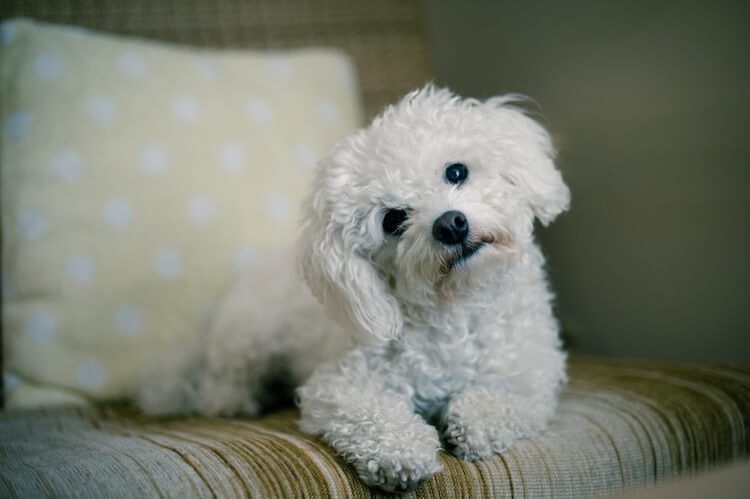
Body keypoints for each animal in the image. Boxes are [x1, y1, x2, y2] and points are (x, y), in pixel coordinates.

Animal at [140, 85, 568, 492]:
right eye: (393, 219)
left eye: (457, 172)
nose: (450, 224)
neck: (456, 310)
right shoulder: (339, 384)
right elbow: (373, 415)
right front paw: (403, 451)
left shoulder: (533, 376)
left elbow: (498, 403)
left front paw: (472, 422)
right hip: (247, 337)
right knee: (219, 382)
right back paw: (233, 401)